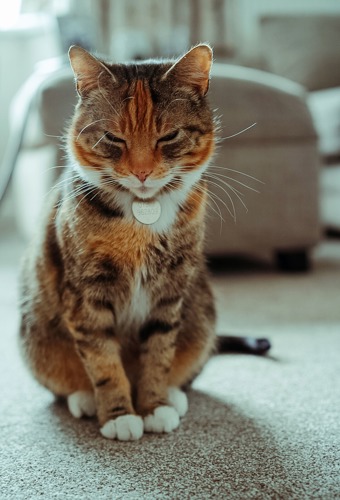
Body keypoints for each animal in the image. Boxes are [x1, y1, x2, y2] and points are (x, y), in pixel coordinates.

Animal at [18, 44, 270, 442]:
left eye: (168, 136)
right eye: (113, 138)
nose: (141, 172)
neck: (142, 218)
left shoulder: (170, 289)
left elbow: (159, 352)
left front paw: (153, 406)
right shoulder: (86, 293)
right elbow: (102, 359)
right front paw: (119, 415)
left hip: (202, 314)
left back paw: (173, 397)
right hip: (36, 336)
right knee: (65, 380)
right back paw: (85, 399)